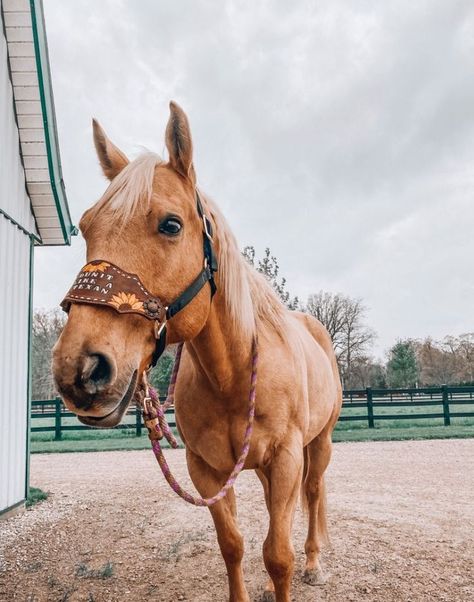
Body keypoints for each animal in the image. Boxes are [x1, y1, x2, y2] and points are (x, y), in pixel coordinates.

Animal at [52, 103, 340, 600]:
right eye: (85, 228)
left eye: (171, 224)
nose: (79, 368)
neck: (234, 375)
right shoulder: (205, 469)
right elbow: (234, 546)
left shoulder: (286, 458)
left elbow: (278, 555)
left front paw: (293, 567)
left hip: (318, 444)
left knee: (315, 492)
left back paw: (314, 561)